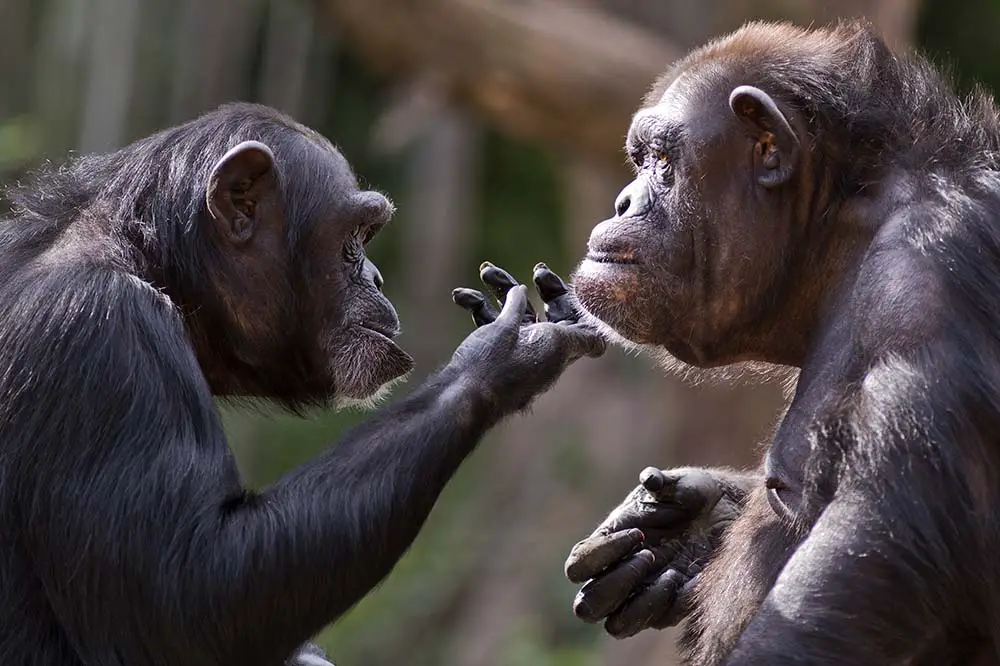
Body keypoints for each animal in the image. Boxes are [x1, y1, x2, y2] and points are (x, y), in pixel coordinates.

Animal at [0, 100, 600, 664]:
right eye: (353, 236)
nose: (377, 277)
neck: (151, 263)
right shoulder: (100, 331)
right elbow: (184, 598)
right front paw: (500, 354)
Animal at [560, 18, 1000, 660]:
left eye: (663, 161)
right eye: (639, 159)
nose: (623, 201)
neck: (839, 229)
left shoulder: (926, 286)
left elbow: (879, 552)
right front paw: (687, 527)